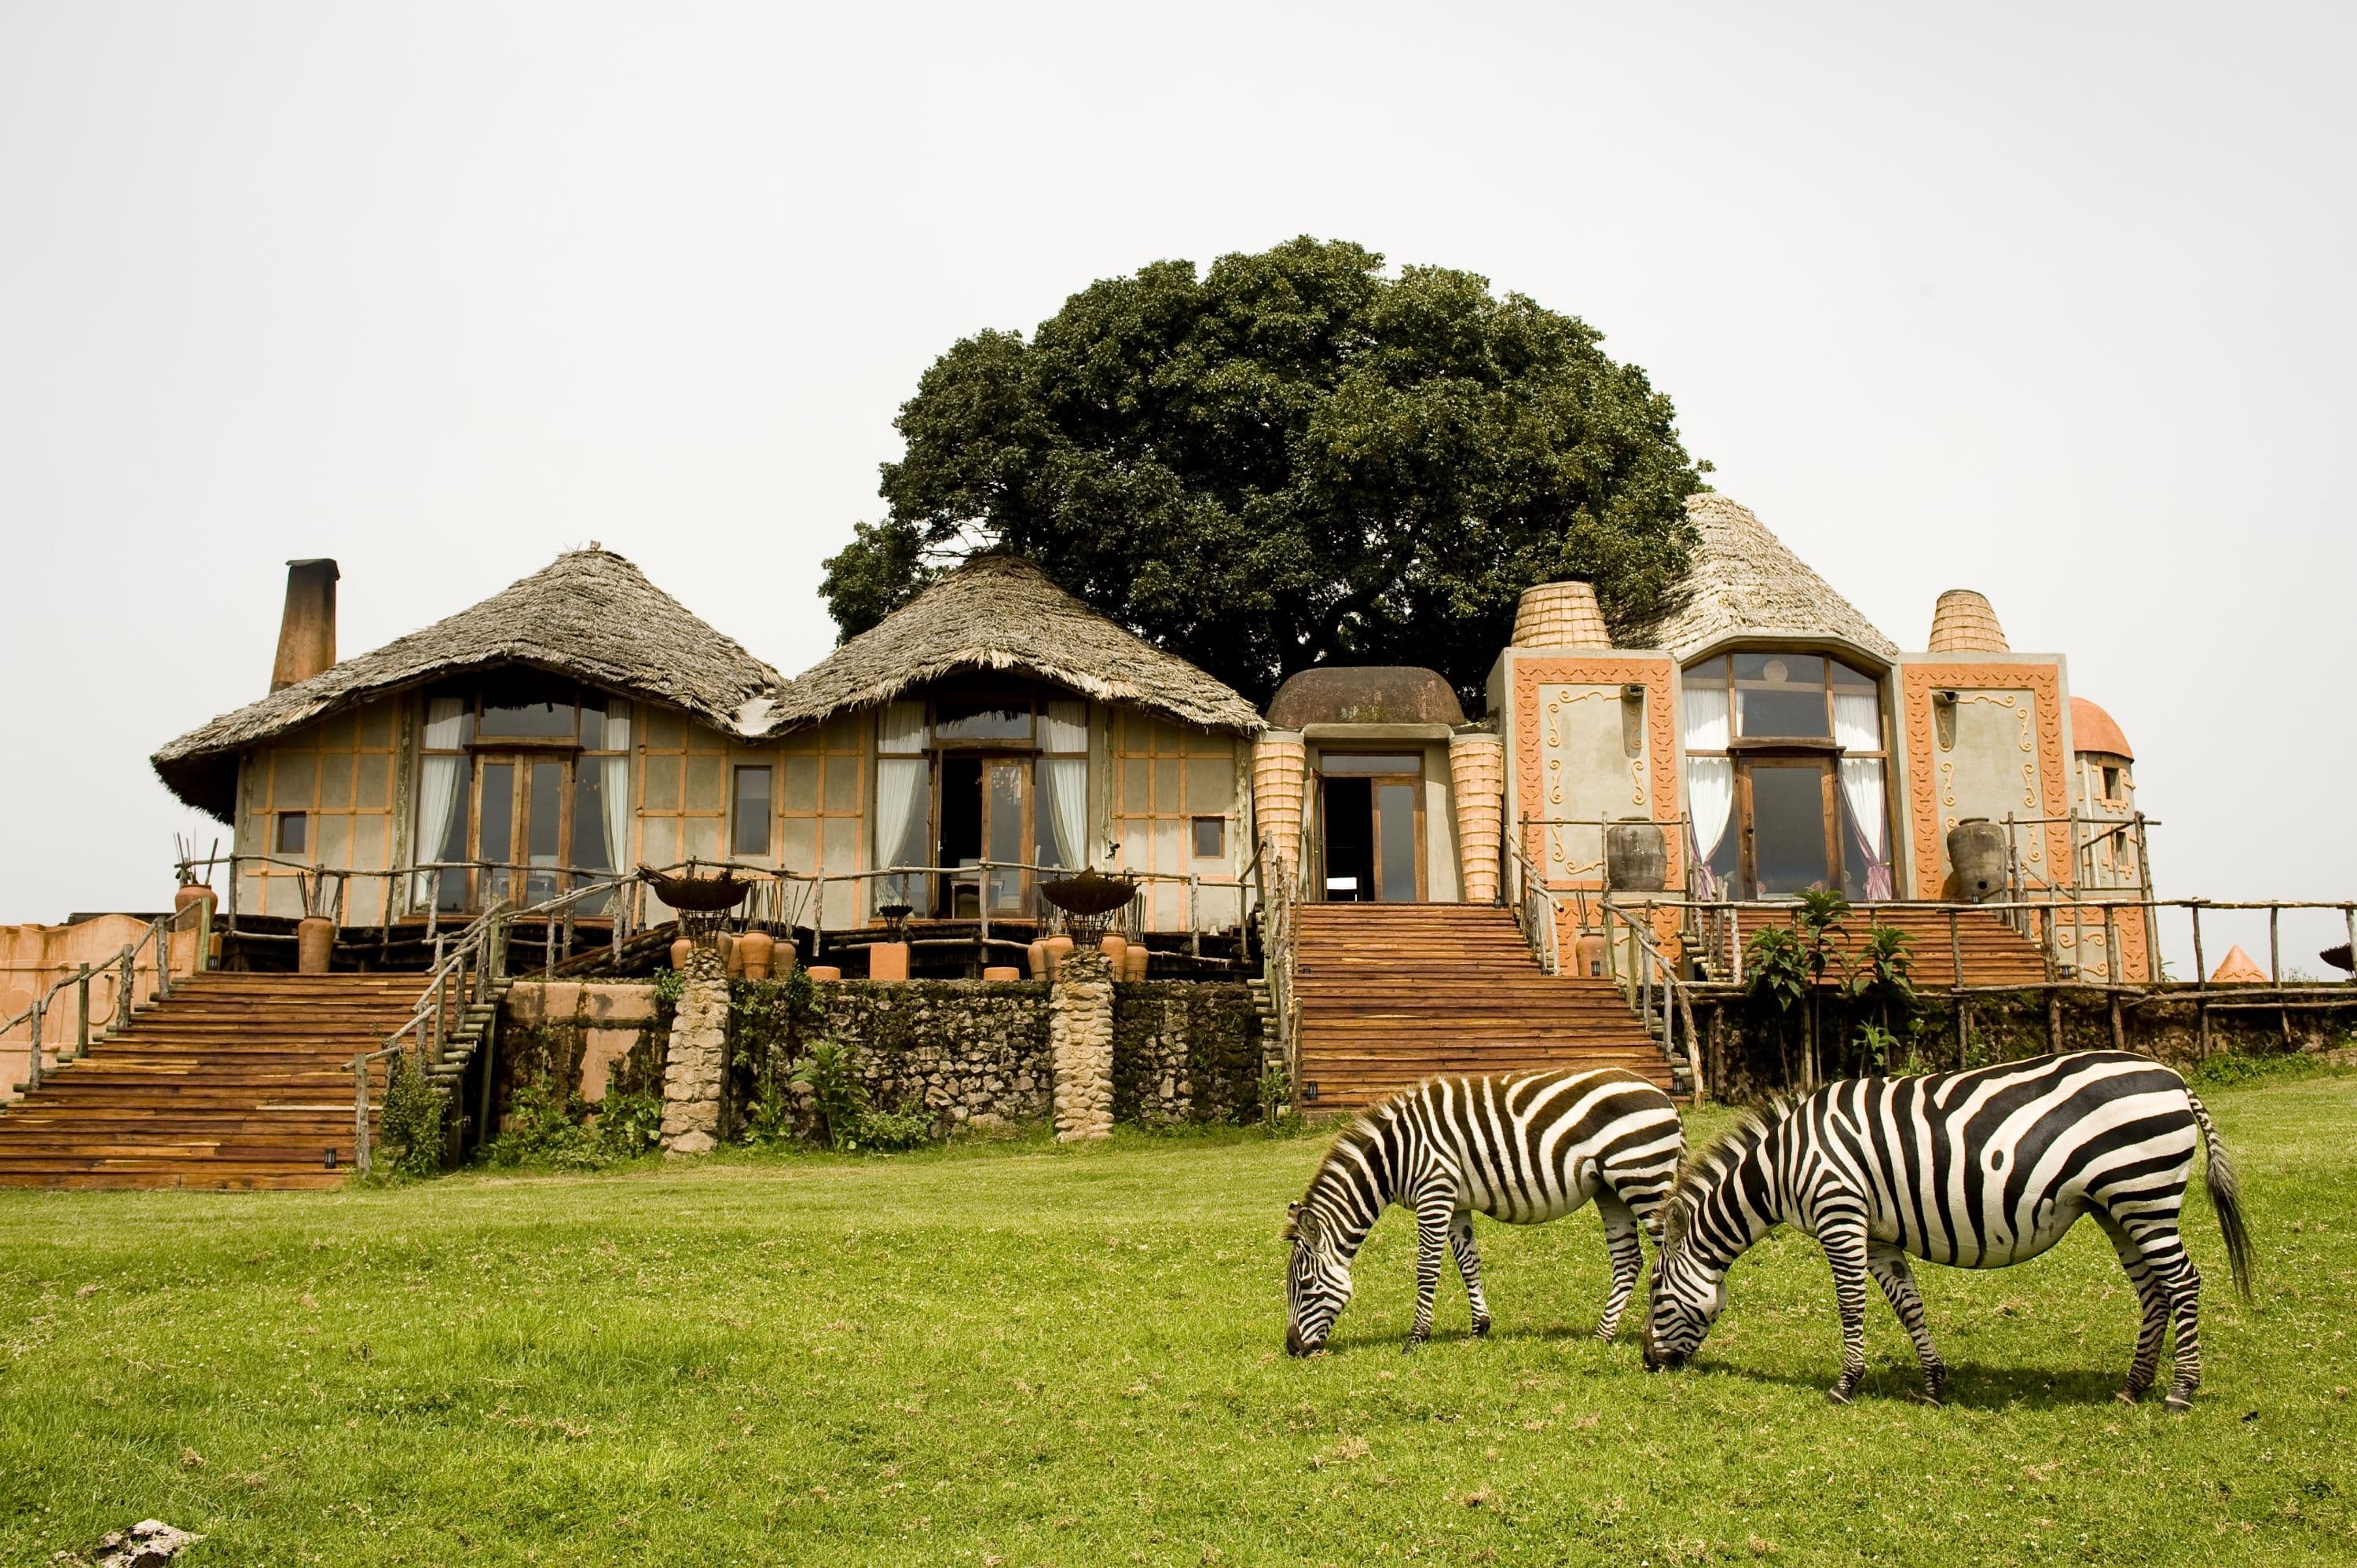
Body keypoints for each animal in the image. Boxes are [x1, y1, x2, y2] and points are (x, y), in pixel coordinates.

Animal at [1282, 1065, 1688, 1357]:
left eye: (1305, 1285)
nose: (1293, 1349)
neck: (1393, 1156)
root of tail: (1664, 1095)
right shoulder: (1456, 1203)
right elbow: (1468, 1263)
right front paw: (1480, 1328)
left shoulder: (1435, 1191)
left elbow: (1427, 1268)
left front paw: (1416, 1338)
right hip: (1611, 1190)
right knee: (1629, 1261)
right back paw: (1603, 1334)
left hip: (1643, 1179)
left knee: (1670, 1255)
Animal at [1640, 1051, 2244, 1405]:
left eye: (1656, 1289)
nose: (1648, 1363)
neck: (1782, 1165)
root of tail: (2174, 1078)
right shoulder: (1878, 1234)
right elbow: (1909, 1305)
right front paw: (1933, 1384)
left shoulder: (1841, 1214)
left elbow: (1851, 1305)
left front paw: (1845, 1385)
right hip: (2118, 1205)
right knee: (2154, 1291)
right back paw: (2133, 1387)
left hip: (2144, 1193)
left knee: (2184, 1282)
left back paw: (2182, 1391)